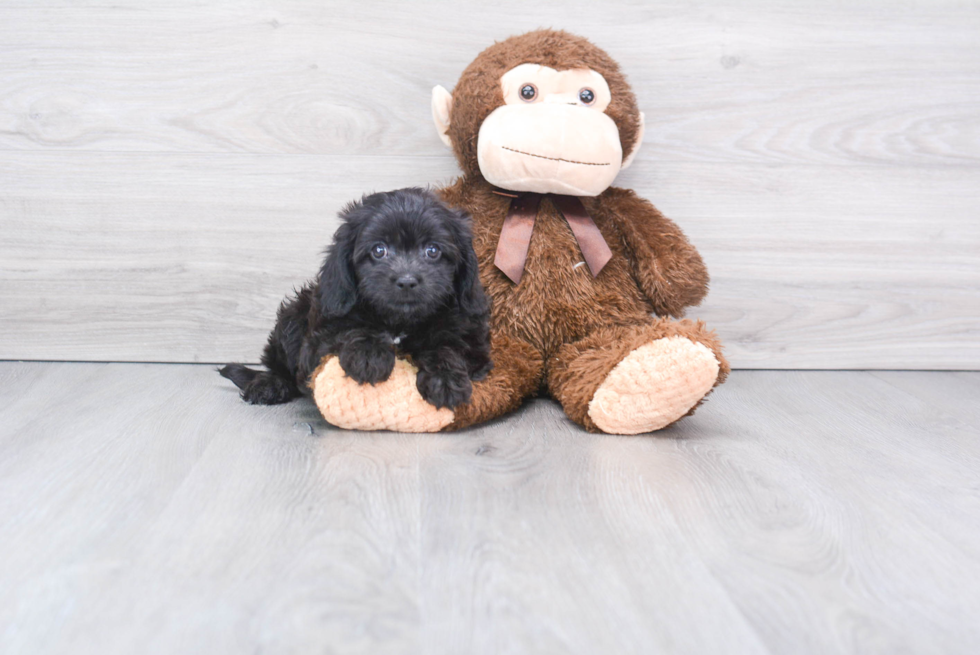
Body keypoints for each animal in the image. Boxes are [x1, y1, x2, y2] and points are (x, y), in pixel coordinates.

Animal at [225, 186, 494, 410]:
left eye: (433, 251)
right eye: (379, 250)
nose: (407, 280)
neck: (399, 321)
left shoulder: (471, 341)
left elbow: (448, 348)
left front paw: (446, 380)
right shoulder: (320, 336)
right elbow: (349, 329)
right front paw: (368, 354)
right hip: (293, 314)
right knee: (281, 363)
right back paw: (269, 385)